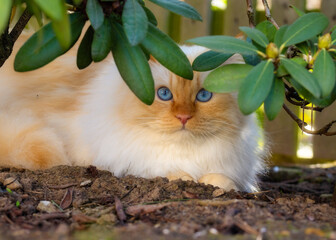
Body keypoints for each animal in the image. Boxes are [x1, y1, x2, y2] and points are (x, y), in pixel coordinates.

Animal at [0, 33, 268, 192]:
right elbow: (163, 170)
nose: (183, 117)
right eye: (164, 94)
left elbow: (224, 180)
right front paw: (185, 178)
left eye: (203, 96)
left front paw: (214, 183)